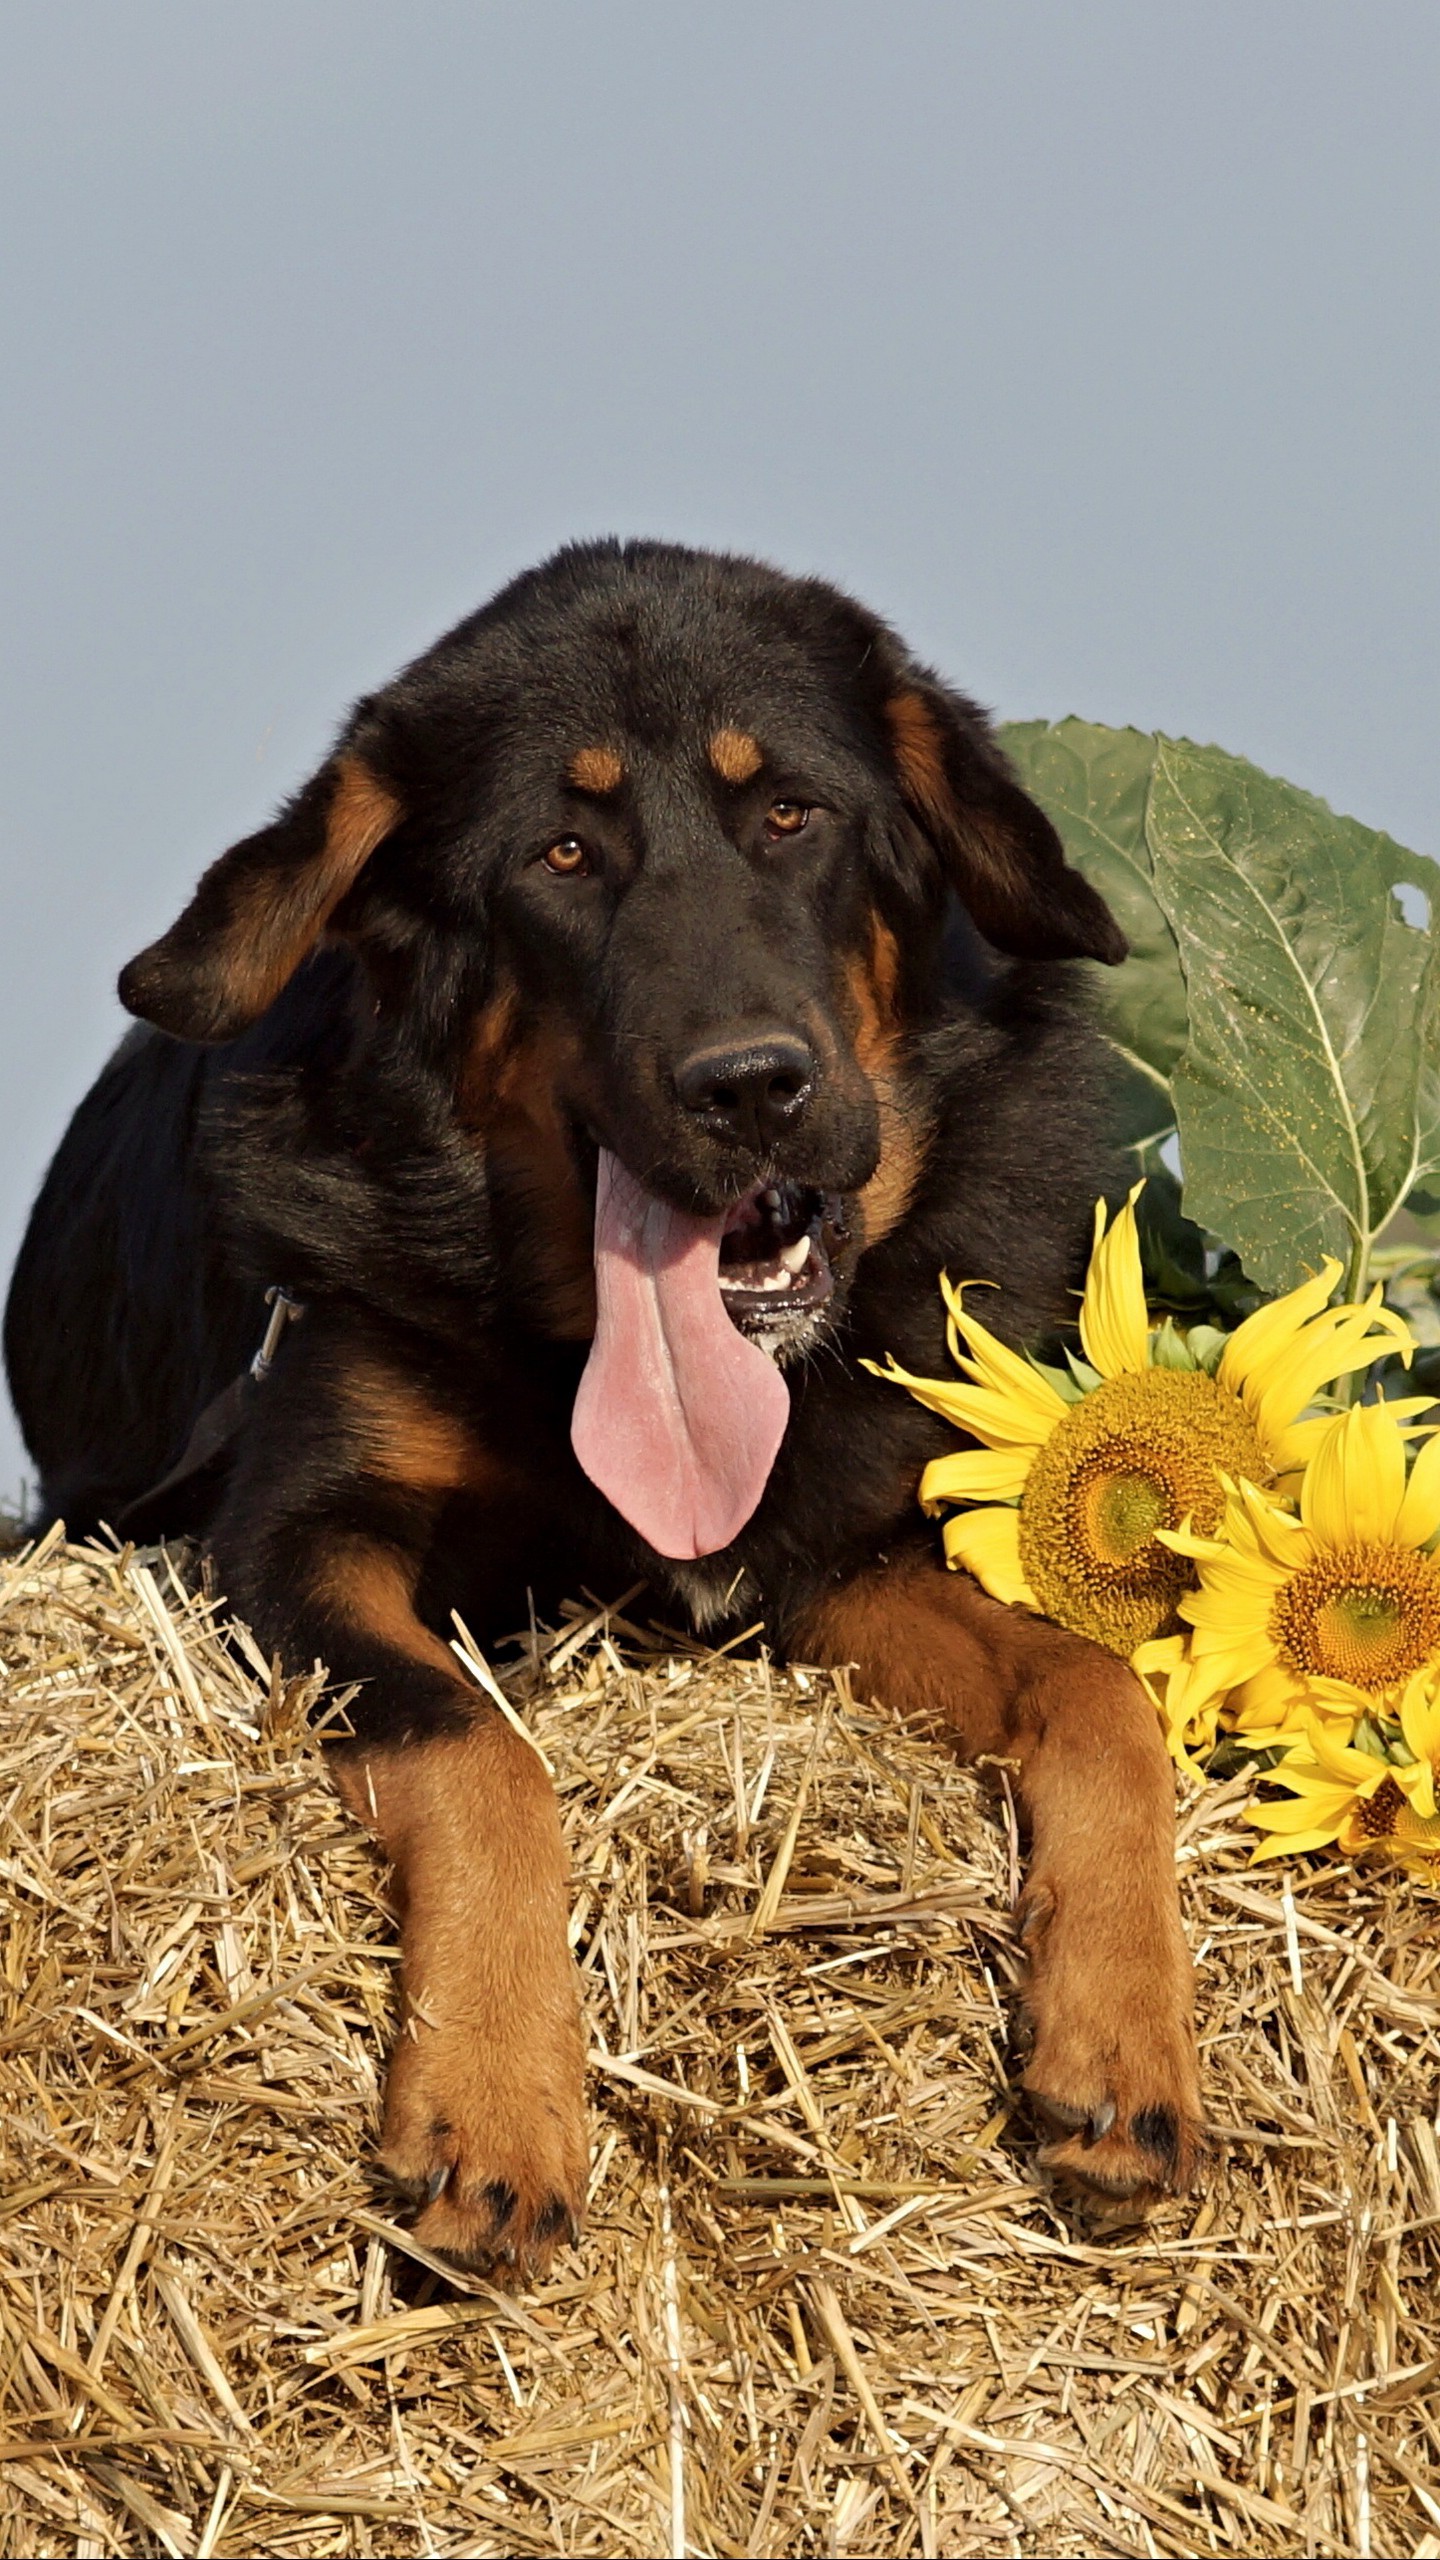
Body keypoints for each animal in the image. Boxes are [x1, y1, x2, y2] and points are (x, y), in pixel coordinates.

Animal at [8, 535, 1199, 2263]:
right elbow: (480, 1749)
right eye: (562, 854)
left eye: (794, 814)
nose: (751, 1084)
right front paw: (497, 2099)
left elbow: (1101, 1692)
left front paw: (1123, 2039)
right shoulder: (297, 1544)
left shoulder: (832, 1562)